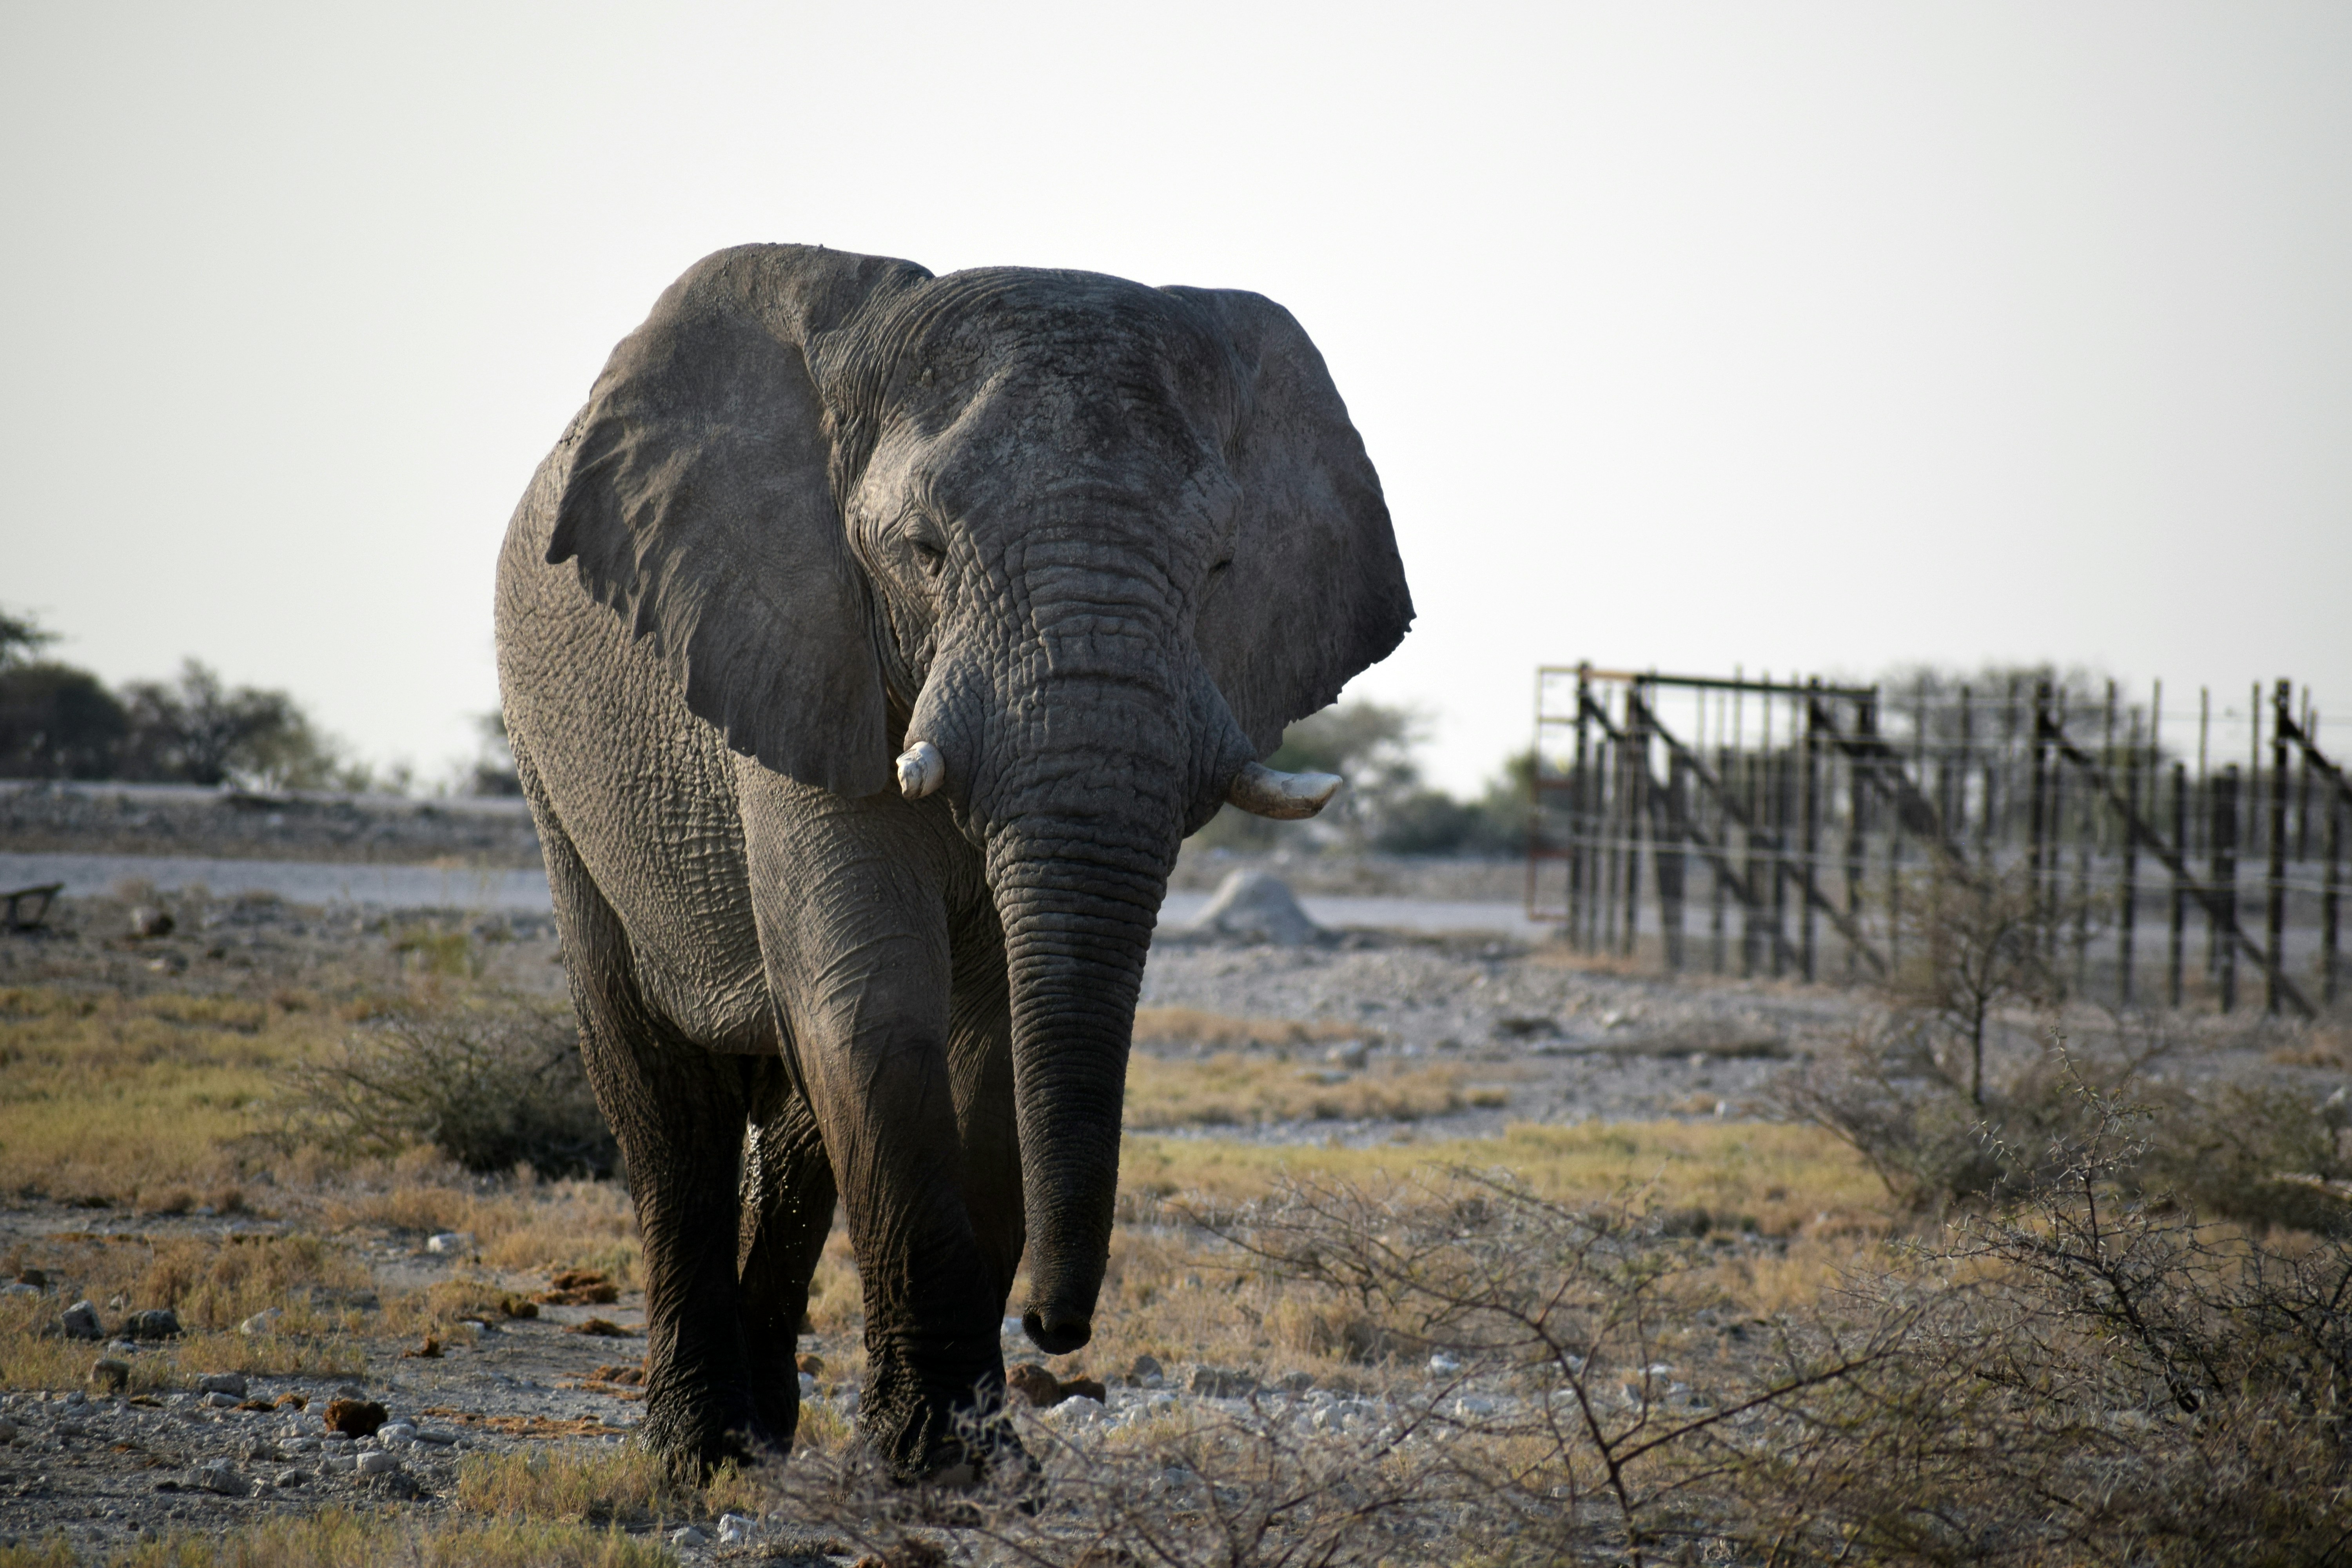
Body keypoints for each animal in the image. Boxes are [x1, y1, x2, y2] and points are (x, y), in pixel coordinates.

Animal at [493, 242, 1412, 1480]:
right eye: (922, 553)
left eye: (1222, 565)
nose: (1054, 1329)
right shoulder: (799, 641)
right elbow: (875, 1001)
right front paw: (941, 1467)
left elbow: (988, 1041)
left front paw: (974, 1469)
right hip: (554, 772)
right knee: (663, 1099)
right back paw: (704, 1453)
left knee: (796, 1128)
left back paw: (766, 1432)